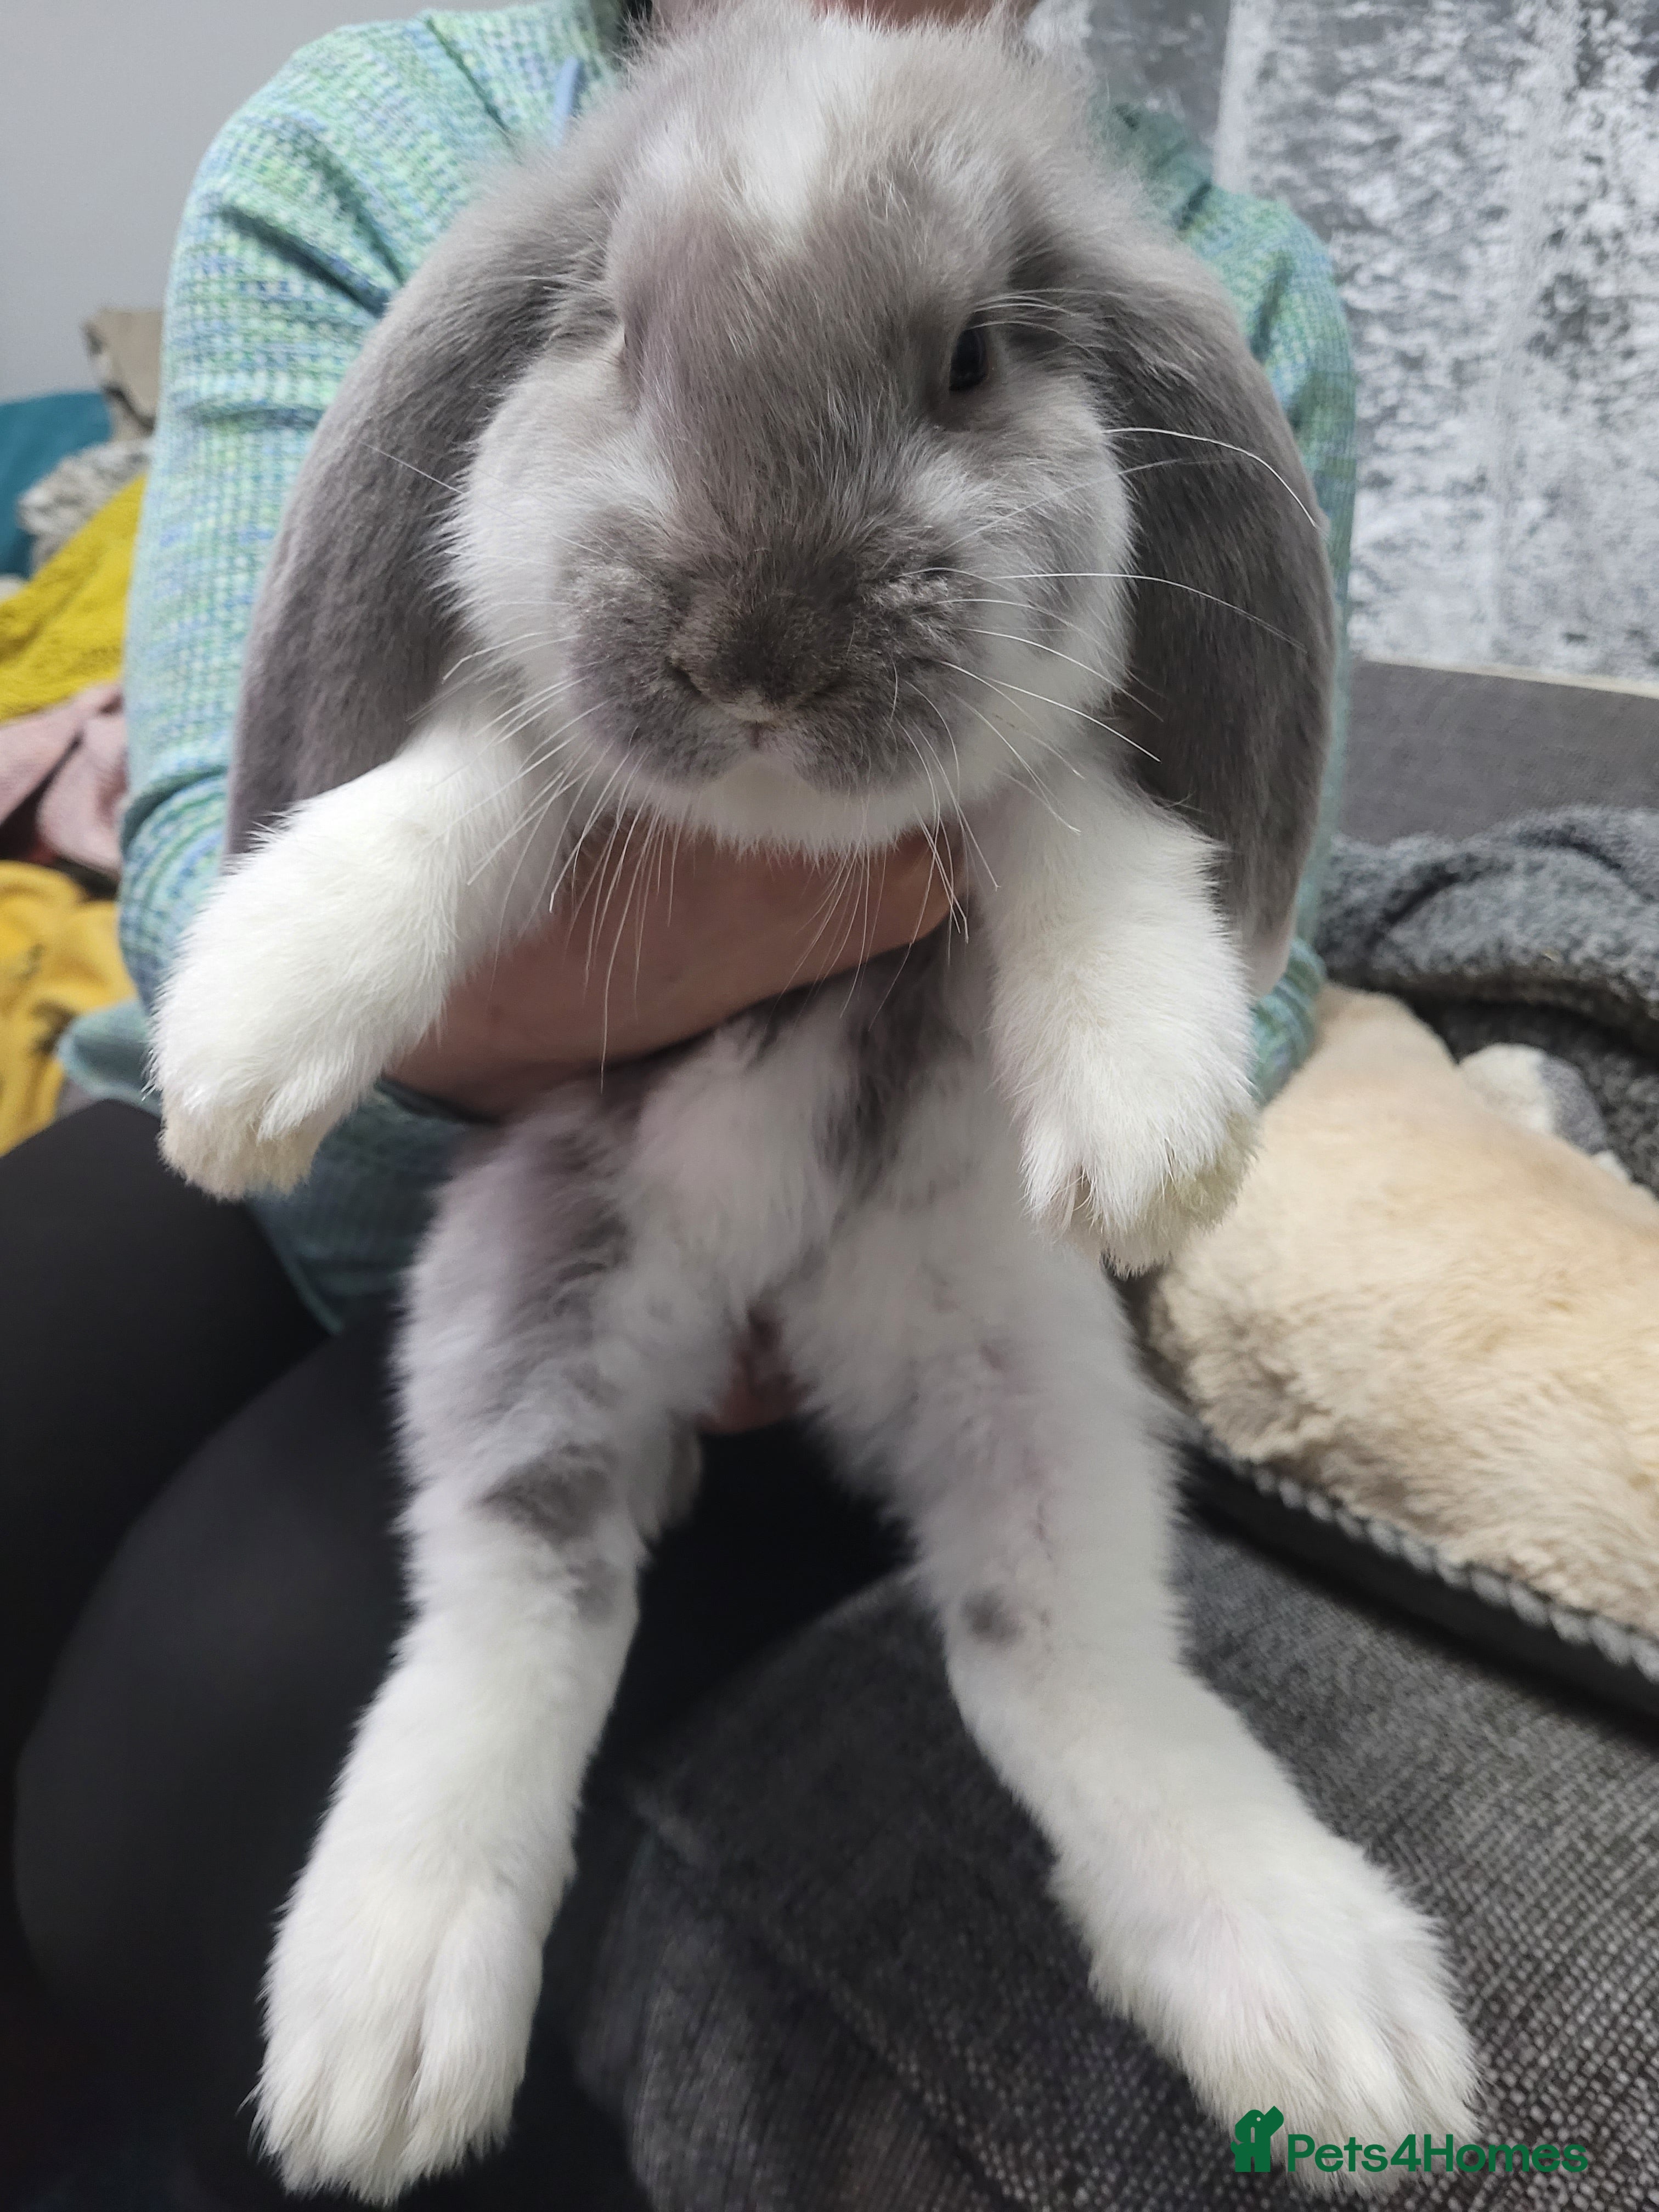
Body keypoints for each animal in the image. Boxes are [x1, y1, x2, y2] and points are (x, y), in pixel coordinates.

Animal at [153, 0, 1477, 2196]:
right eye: (605, 330)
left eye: (971, 357)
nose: (754, 654)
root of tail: (774, 1315)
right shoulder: (537, 730)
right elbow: (479, 778)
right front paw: (248, 1034)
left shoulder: (1035, 767)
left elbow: (1063, 815)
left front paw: (1151, 1109)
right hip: (531, 1291)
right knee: (525, 1595)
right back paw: (388, 2020)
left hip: (1025, 1373)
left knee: (1043, 1649)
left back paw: (1320, 2004)